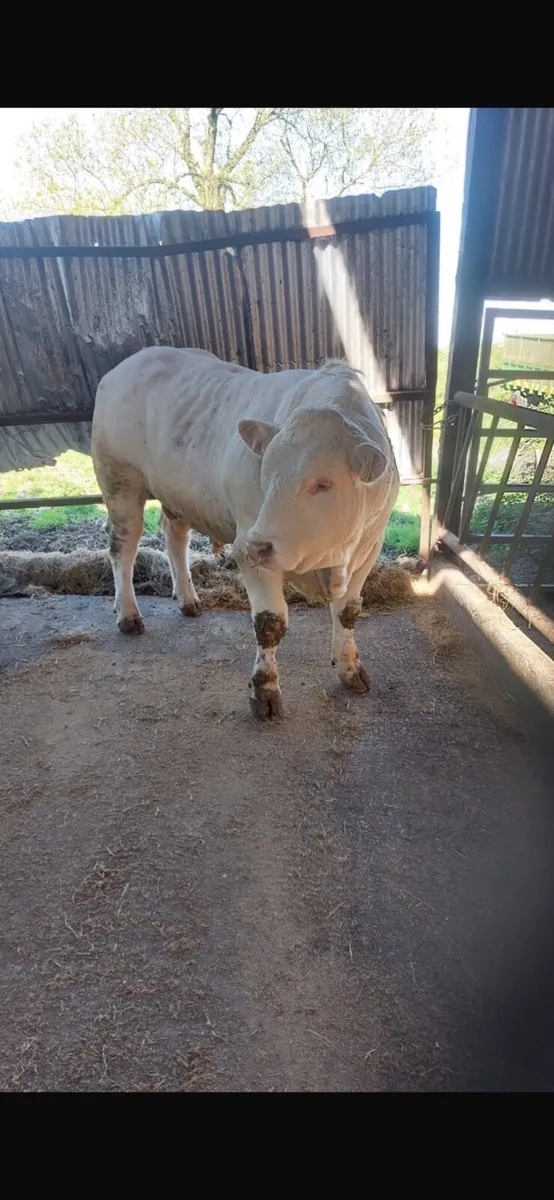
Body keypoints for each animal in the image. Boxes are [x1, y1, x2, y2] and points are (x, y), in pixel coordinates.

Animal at [91, 347, 399, 720]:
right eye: (265, 472)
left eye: (323, 484)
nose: (258, 545)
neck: (332, 558)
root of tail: (130, 361)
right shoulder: (250, 551)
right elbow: (270, 623)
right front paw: (265, 691)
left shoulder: (369, 549)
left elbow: (347, 612)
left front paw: (350, 668)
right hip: (119, 480)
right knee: (122, 546)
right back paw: (128, 613)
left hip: (176, 495)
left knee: (173, 535)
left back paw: (189, 599)